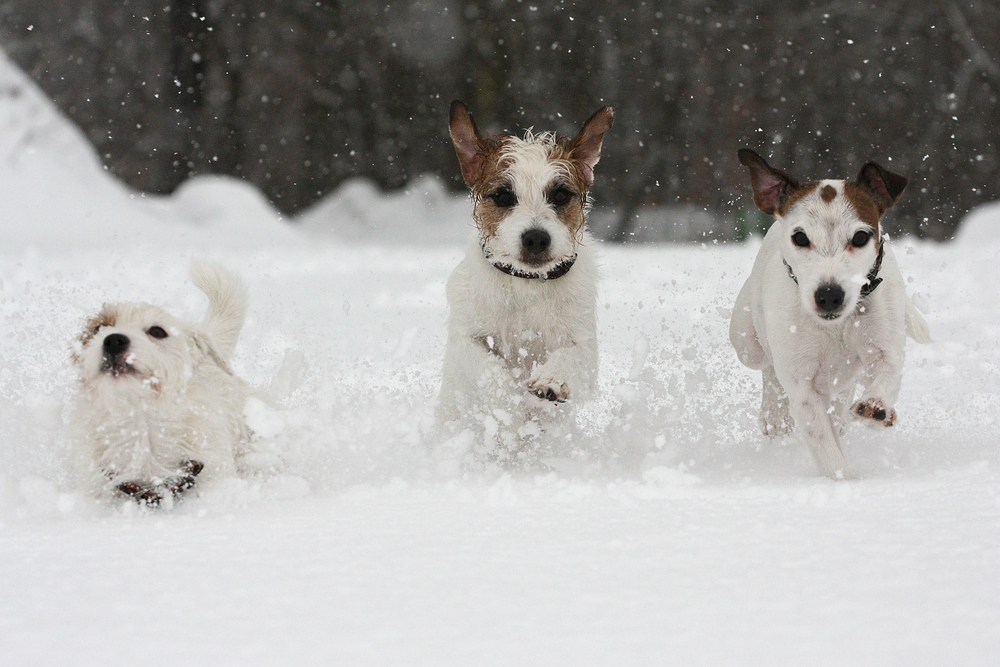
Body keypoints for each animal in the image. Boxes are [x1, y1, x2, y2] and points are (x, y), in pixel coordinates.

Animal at [440, 100, 616, 464]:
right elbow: (488, 368)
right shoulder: (465, 339)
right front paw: (508, 407)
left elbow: (572, 357)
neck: (527, 285)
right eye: (503, 196)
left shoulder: (584, 345)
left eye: (560, 195)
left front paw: (551, 380)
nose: (535, 238)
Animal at [728, 149, 928, 478]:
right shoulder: (803, 385)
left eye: (860, 237)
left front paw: (876, 406)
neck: (837, 326)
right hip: (746, 343)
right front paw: (842, 480)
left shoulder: (884, 346)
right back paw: (774, 415)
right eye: (800, 238)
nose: (829, 295)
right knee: (768, 369)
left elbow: (887, 373)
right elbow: (822, 439)